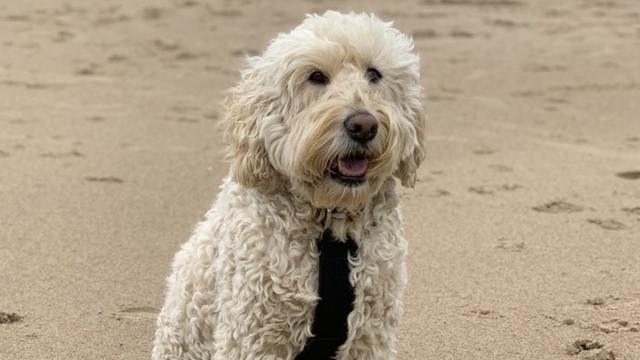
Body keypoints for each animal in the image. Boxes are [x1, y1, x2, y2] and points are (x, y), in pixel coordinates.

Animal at [151, 10, 424, 360]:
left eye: (374, 73)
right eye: (316, 77)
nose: (363, 125)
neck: (330, 223)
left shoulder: (370, 331)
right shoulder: (253, 331)